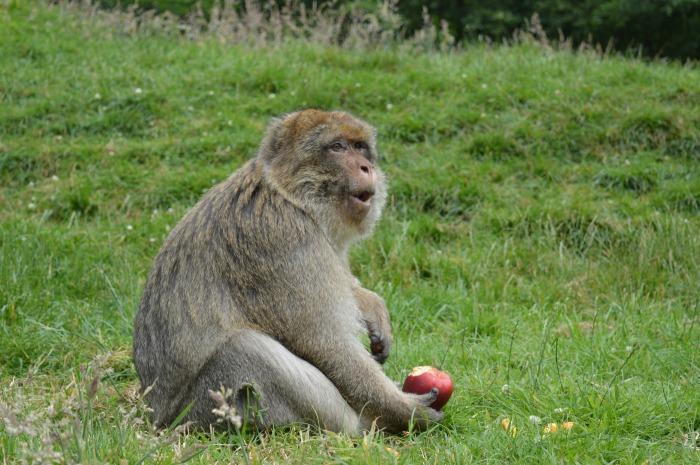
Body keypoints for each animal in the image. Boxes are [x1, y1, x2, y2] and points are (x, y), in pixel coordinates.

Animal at [133, 109, 442, 436]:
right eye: (337, 147)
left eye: (360, 147)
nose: (366, 167)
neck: (291, 198)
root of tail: (156, 416)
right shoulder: (286, 241)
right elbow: (327, 345)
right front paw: (404, 410)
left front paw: (372, 306)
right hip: (206, 411)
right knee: (245, 349)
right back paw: (362, 425)